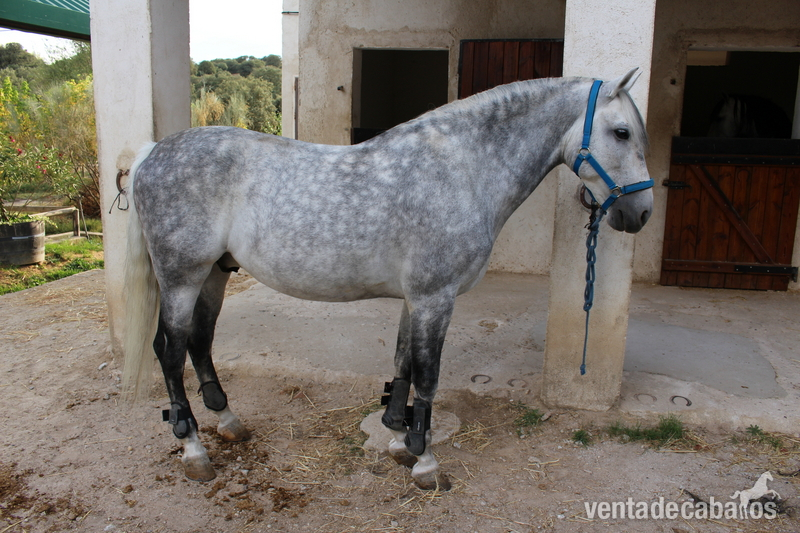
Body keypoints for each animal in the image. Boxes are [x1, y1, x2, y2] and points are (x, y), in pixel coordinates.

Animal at [122, 68, 653, 489]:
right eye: (621, 132)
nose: (641, 214)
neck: (463, 169)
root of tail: (150, 152)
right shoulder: (436, 298)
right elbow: (429, 376)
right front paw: (426, 461)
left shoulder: (414, 299)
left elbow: (402, 367)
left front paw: (399, 438)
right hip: (181, 277)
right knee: (170, 351)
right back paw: (194, 450)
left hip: (214, 273)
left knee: (199, 342)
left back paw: (228, 421)